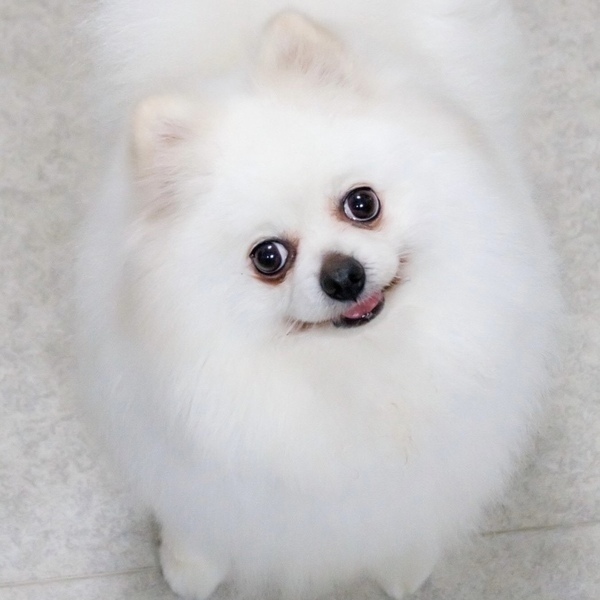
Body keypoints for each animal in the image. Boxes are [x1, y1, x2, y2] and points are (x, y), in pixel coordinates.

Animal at [77, 1, 561, 598]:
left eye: (362, 203)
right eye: (269, 257)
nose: (343, 276)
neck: (351, 369)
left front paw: (404, 563)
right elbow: (205, 520)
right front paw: (190, 568)